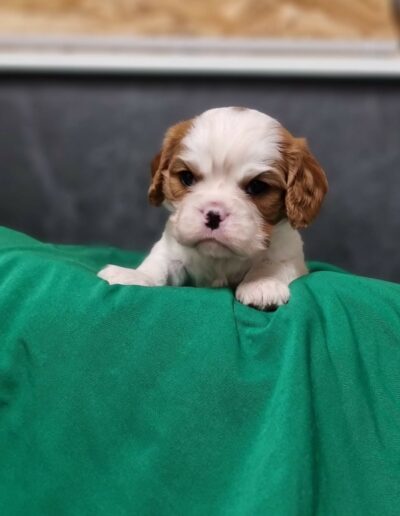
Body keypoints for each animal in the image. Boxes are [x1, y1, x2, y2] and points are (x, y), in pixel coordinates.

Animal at [98, 108, 326, 310]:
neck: (221, 258)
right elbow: (159, 263)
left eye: (257, 186)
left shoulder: (290, 255)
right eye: (187, 177)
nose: (214, 215)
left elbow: (273, 264)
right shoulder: (172, 249)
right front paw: (136, 275)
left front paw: (262, 282)